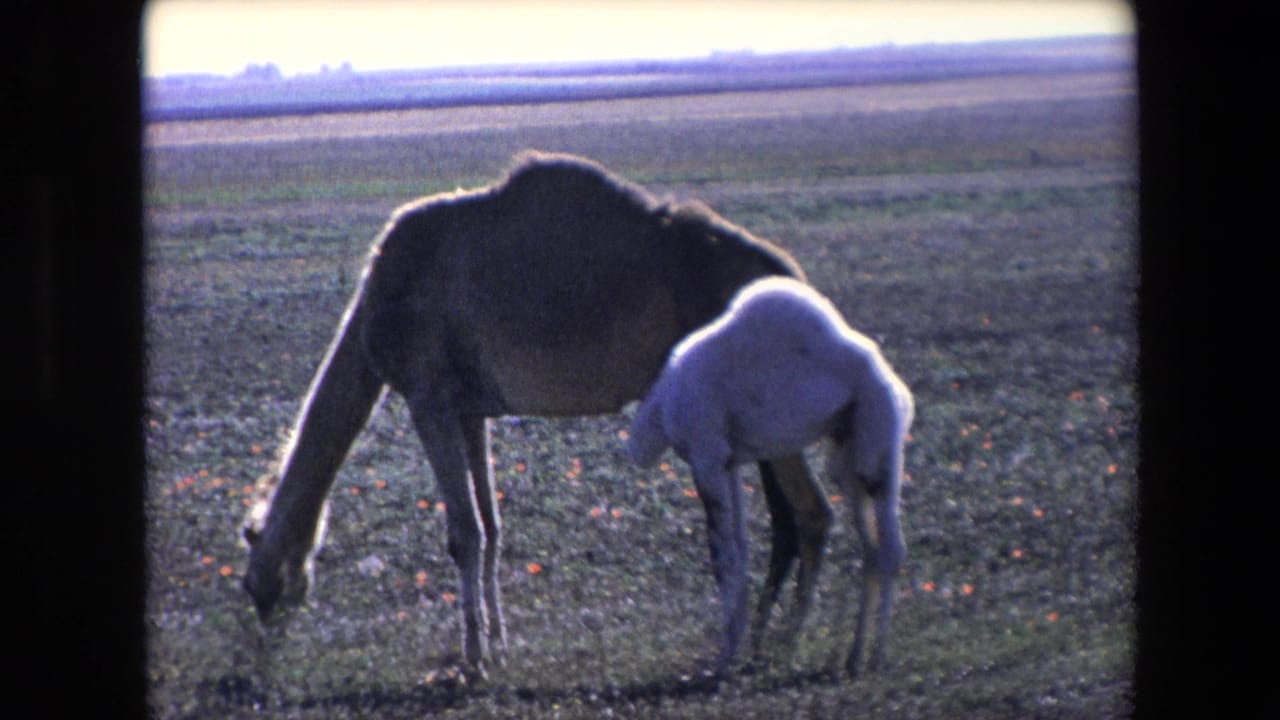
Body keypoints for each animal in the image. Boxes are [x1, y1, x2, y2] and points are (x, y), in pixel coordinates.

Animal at [241, 151, 835, 681]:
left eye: (256, 584)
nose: (260, 658)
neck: (374, 305)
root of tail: (787, 272)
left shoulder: (427, 394)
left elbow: (463, 533)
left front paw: (474, 660)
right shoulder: (469, 408)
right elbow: (491, 526)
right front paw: (499, 646)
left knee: (811, 512)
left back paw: (784, 644)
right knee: (790, 515)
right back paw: (764, 641)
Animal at [629, 276, 914, 678]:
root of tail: (899, 391)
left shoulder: (707, 455)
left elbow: (723, 556)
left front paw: (724, 659)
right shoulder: (729, 462)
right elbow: (741, 550)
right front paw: (733, 649)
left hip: (879, 441)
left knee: (890, 548)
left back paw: (875, 658)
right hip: (847, 452)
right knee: (871, 547)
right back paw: (853, 657)